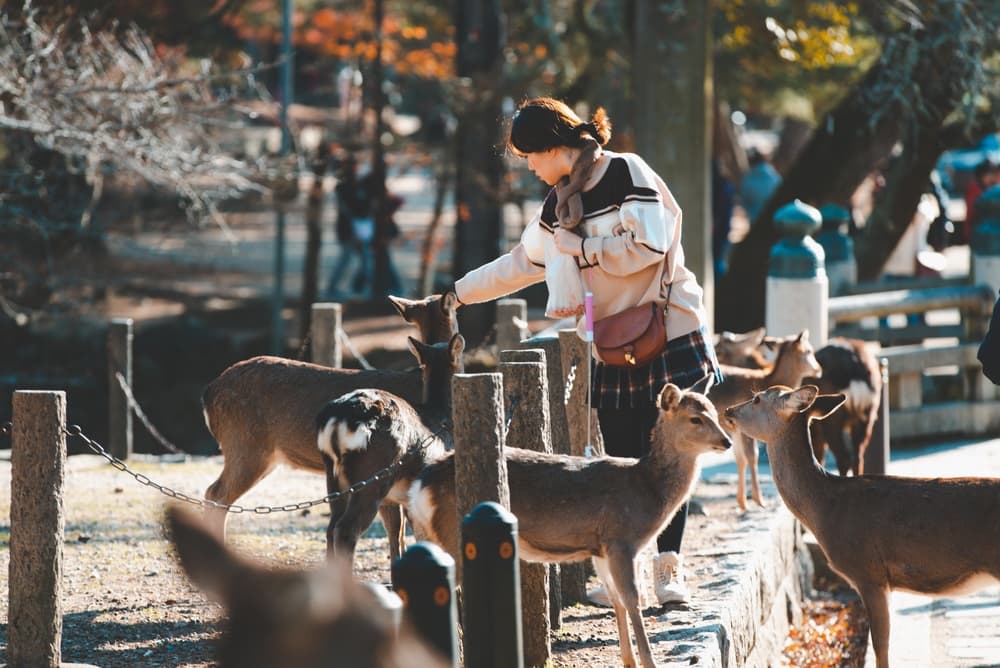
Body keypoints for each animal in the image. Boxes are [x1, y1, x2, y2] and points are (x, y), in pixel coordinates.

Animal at [315, 333, 463, 566]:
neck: (442, 419)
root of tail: (338, 421)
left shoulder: (394, 499)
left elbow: (395, 533)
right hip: (372, 474)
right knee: (346, 530)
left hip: (334, 477)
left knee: (331, 527)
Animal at [407, 379, 732, 668]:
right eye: (695, 418)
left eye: (715, 413)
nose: (726, 441)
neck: (646, 490)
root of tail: (419, 487)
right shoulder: (621, 540)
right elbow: (632, 599)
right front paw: (649, 662)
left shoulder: (600, 548)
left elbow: (616, 599)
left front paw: (628, 661)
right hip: (451, 534)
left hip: (428, 533)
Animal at [709, 329, 821, 510]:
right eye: (809, 351)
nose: (819, 369)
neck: (766, 379)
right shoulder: (743, 425)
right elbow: (751, 455)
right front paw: (759, 501)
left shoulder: (734, 429)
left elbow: (740, 458)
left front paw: (742, 503)